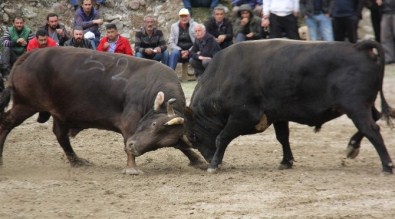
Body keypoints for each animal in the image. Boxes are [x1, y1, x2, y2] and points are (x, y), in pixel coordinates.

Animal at [0, 47, 206, 175]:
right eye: (154, 123)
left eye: (161, 143)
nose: (134, 147)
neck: (150, 87)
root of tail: (28, 56)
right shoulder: (130, 121)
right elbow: (128, 136)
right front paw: (131, 167)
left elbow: (181, 145)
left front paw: (197, 160)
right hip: (25, 104)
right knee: (6, 123)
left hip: (58, 113)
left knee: (60, 135)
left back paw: (76, 160)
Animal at [186, 39, 395, 173]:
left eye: (194, 137)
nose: (207, 160)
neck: (224, 76)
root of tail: (358, 47)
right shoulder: (278, 114)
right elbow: (283, 137)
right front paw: (286, 161)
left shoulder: (244, 115)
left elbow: (222, 137)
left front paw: (214, 165)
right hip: (363, 106)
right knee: (375, 118)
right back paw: (352, 146)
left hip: (356, 107)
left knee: (371, 129)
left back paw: (386, 165)